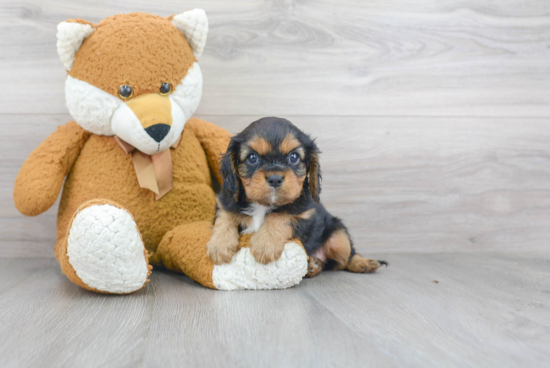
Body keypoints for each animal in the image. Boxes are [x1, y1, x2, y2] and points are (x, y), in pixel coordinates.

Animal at [207, 116, 388, 278]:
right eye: (252, 158)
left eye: (293, 157)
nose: (275, 179)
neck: (263, 205)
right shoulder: (226, 201)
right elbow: (226, 216)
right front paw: (219, 245)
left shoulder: (304, 214)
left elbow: (281, 216)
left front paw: (265, 244)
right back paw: (314, 265)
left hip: (339, 237)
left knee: (345, 259)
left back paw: (364, 263)